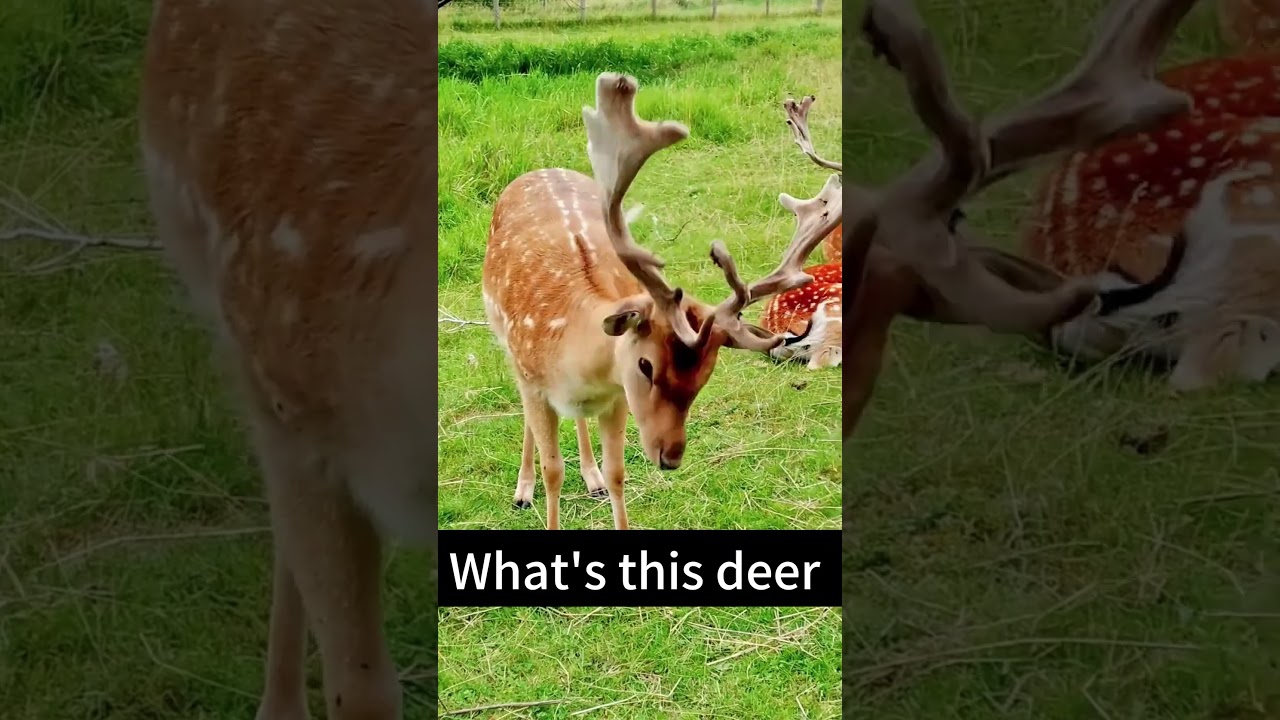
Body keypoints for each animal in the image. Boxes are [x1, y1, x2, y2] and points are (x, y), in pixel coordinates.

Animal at [481, 72, 841, 531]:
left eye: (705, 376)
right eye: (646, 366)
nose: (670, 458)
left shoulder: (616, 398)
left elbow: (618, 473)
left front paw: (604, 481)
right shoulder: (535, 382)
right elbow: (553, 471)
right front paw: (535, 490)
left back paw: (591, 478)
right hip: (505, 343)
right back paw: (522, 491)